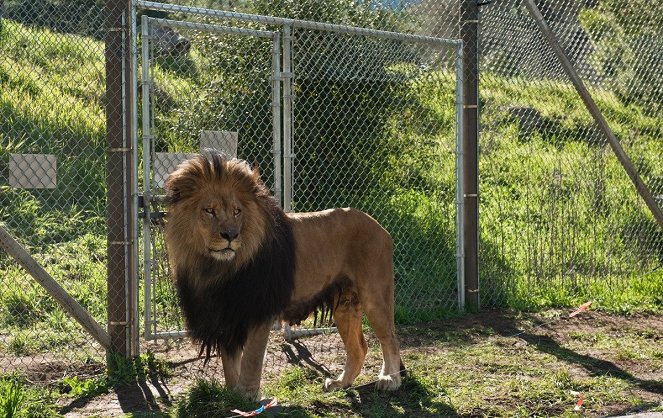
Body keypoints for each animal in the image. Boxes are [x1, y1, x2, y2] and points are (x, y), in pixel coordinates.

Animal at [165, 152, 404, 400]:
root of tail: (380, 226)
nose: (231, 235)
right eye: (209, 211)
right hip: (345, 303)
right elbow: (230, 364)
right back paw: (341, 383)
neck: (216, 268)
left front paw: (248, 395)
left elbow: (251, 359)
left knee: (390, 339)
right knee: (359, 348)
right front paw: (233, 396)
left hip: (375, 295)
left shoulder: (258, 310)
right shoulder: (227, 314)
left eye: (237, 212)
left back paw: (389, 379)